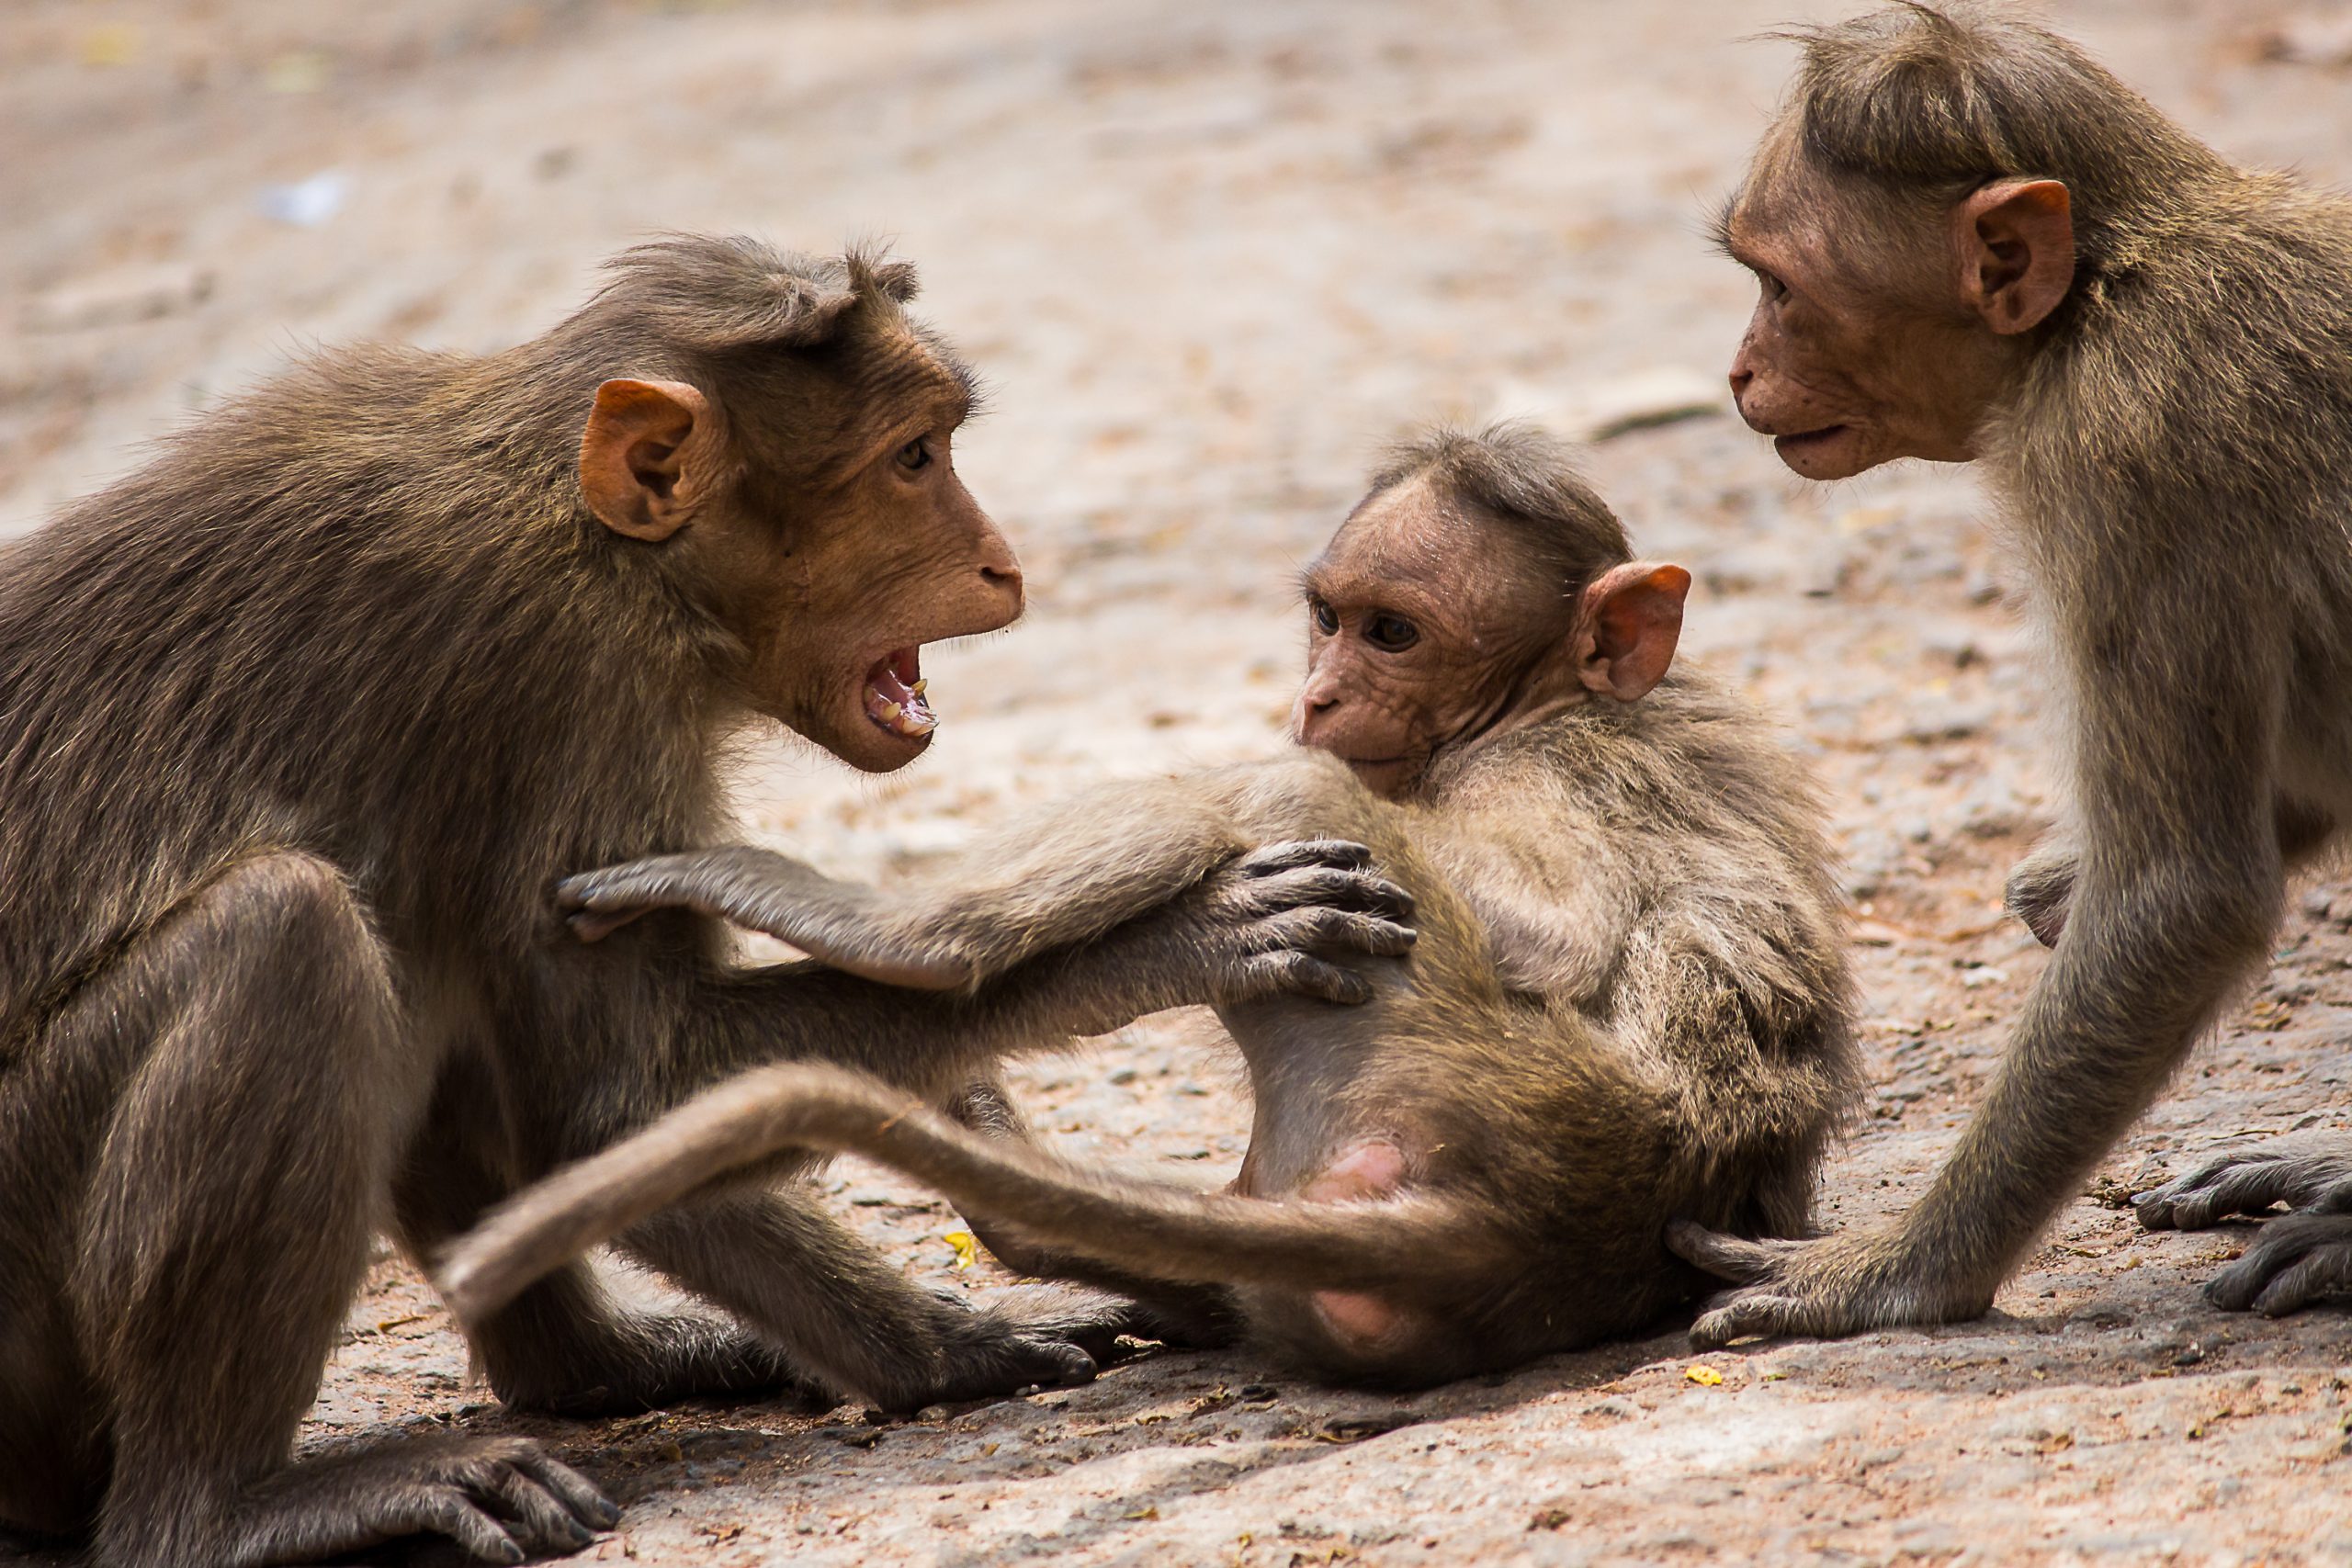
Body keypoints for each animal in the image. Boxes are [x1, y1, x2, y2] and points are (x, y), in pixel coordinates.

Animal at [0, 236, 1374, 1568]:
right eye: (912, 459)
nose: (1005, 564)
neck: (590, 524)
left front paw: (979, 1285)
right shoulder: (574, 676)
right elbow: (616, 1101)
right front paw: (1168, 943)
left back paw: (589, 1372)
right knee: (287, 927)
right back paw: (222, 1510)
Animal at [444, 421, 1853, 1382]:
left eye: (1392, 633)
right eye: (1329, 619)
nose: (1322, 693)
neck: (1545, 699)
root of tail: (1550, 1216)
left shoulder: (1536, 771)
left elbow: (1556, 932)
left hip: (1428, 1053)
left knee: (1286, 786)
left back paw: (915, 939)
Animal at [1674, 3, 2352, 1354]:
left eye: (1779, 286)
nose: (1734, 371)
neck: (2097, 294)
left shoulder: (2127, 456)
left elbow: (2184, 895)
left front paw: (1896, 1270)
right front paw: (2053, 885)